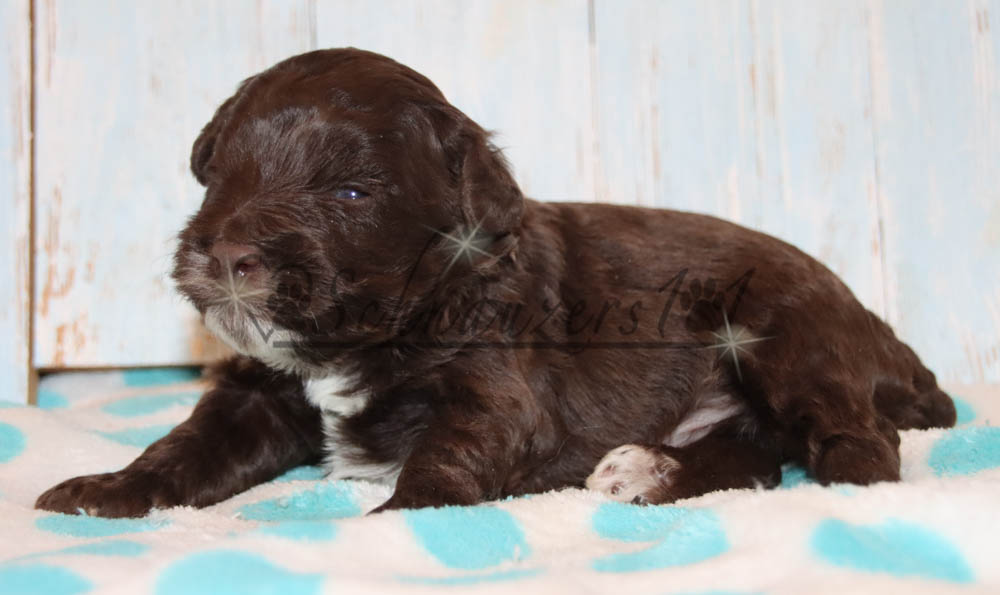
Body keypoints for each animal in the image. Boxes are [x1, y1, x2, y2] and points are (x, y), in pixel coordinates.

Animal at [37, 48, 955, 517]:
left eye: (351, 194)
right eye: (219, 174)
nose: (228, 254)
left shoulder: (494, 392)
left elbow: (447, 461)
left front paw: (395, 524)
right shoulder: (255, 392)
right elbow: (183, 446)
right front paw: (107, 491)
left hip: (778, 323)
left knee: (865, 447)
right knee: (756, 454)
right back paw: (647, 473)